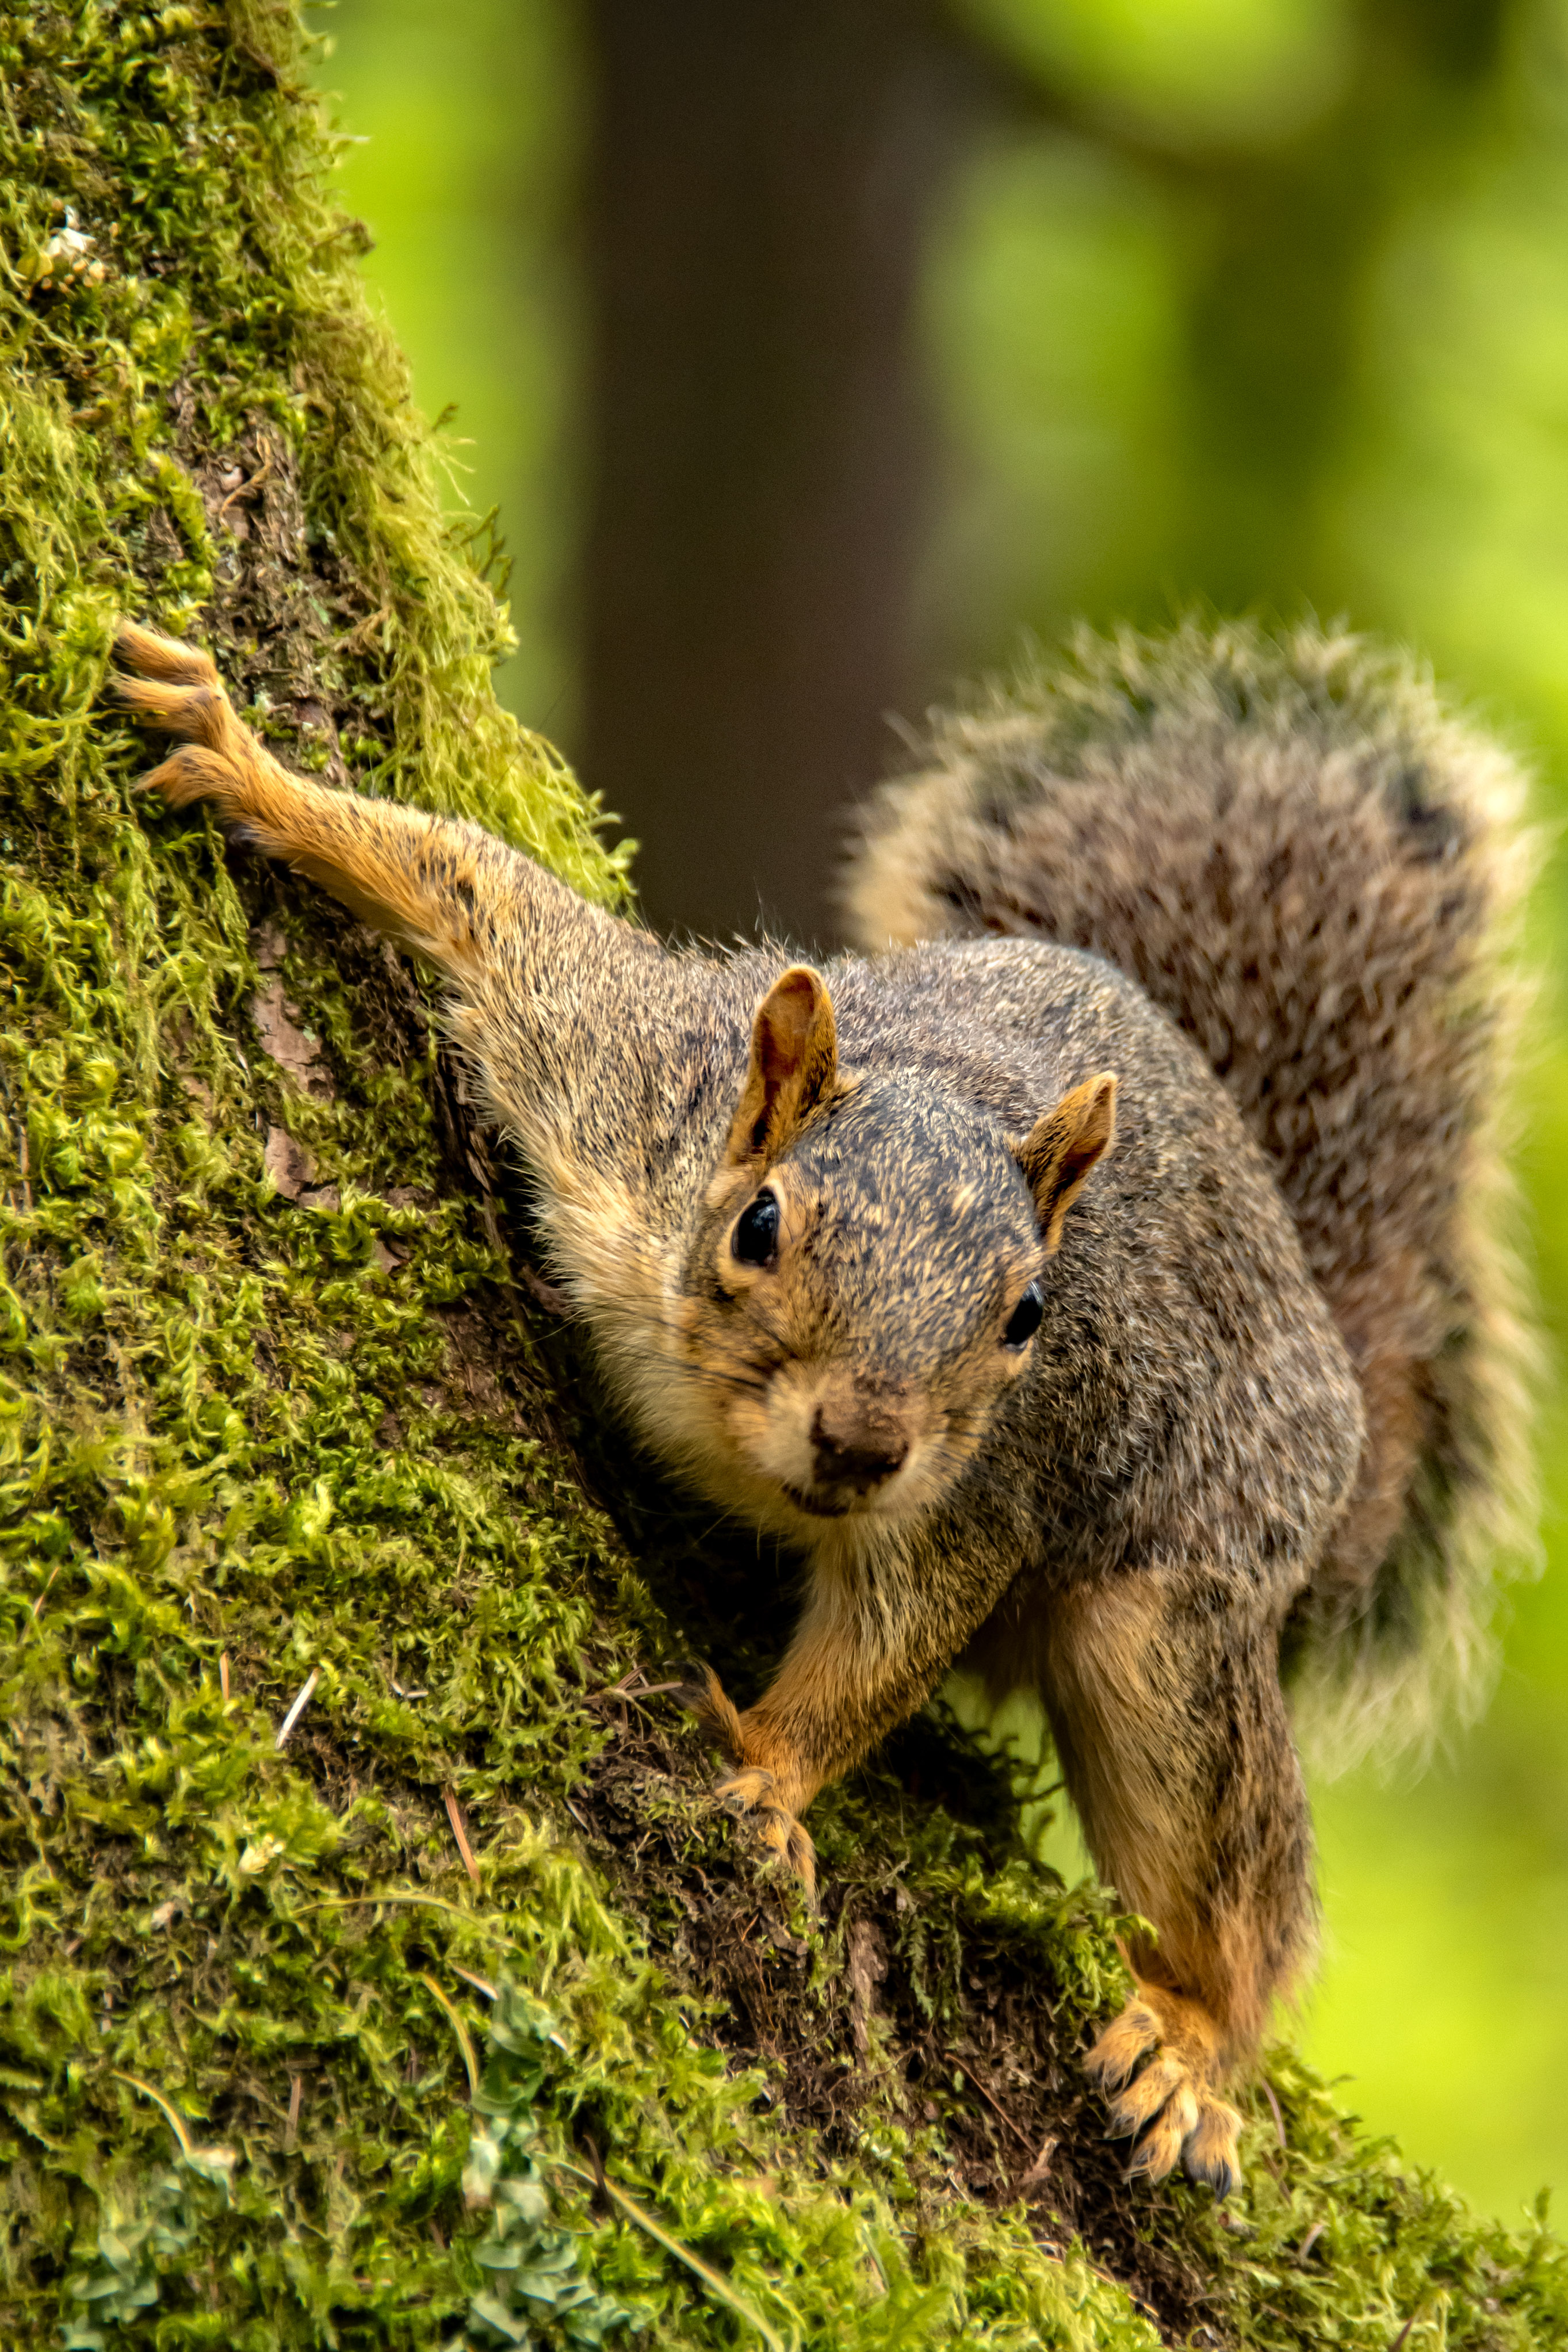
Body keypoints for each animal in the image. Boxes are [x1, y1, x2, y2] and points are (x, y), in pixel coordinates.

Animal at [111, 614, 1536, 2198]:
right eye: (758, 1226)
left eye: (1030, 1316)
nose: (859, 1443)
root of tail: (1333, 1398)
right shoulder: (612, 1080)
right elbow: (475, 891)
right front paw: (248, 758)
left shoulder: (979, 1487)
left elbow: (885, 1648)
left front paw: (771, 1777)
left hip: (1175, 1594)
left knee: (1239, 1871)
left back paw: (1197, 2041)